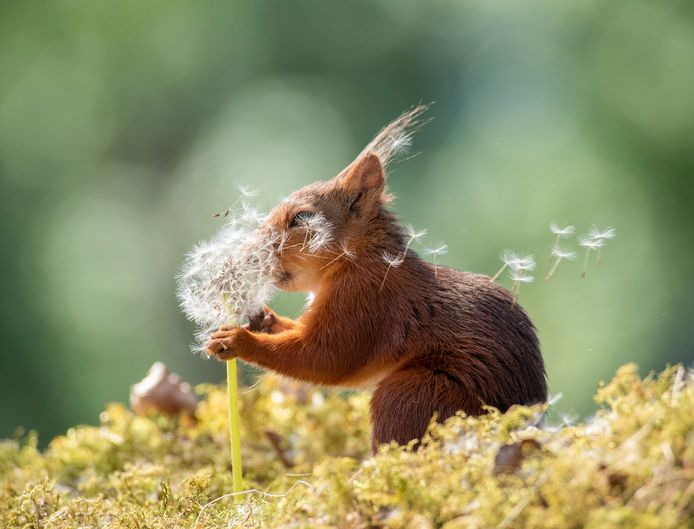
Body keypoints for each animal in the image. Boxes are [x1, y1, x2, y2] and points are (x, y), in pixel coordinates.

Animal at [207, 106, 548, 450]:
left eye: (302, 218)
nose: (250, 253)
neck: (358, 259)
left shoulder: (365, 299)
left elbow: (325, 357)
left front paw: (238, 340)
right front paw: (262, 319)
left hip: (413, 393)